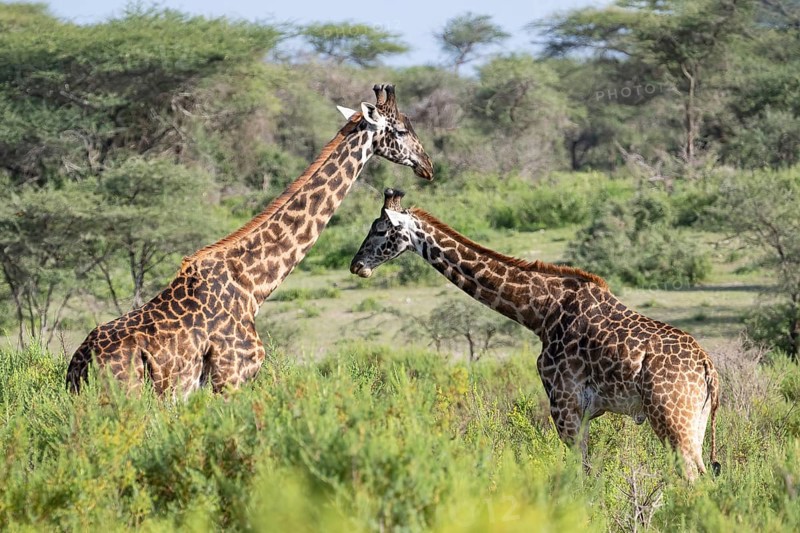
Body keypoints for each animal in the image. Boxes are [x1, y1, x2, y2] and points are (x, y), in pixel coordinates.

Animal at [66, 85, 434, 396]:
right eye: (401, 130)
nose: (427, 165)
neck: (253, 285)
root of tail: (80, 363)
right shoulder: (231, 377)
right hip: (126, 394)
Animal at [349, 189, 721, 480]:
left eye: (380, 230)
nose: (357, 265)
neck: (541, 312)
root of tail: (708, 369)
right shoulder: (581, 411)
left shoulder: (565, 403)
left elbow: (579, 474)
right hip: (696, 420)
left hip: (670, 416)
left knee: (692, 477)